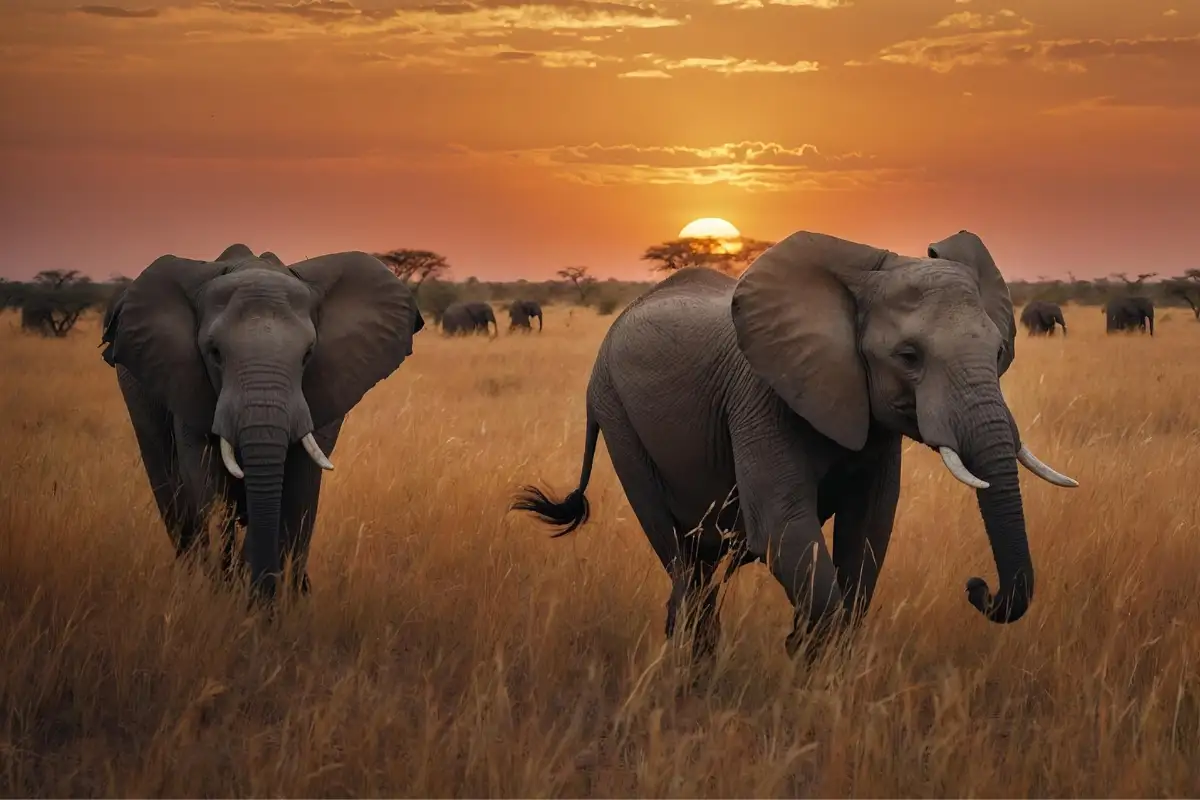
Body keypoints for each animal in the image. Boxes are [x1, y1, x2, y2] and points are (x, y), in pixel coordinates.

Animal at [100, 243, 424, 602]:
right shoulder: (186, 382)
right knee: (172, 496)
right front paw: (228, 596)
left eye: (308, 354)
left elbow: (298, 489)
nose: (263, 593)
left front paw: (273, 601)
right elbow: (208, 485)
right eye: (214, 352)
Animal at [512, 230, 1078, 661]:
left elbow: (868, 532)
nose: (977, 587)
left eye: (1000, 351)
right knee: (680, 557)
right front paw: (804, 658)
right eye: (909, 356)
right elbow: (784, 530)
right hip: (617, 416)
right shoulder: (761, 396)